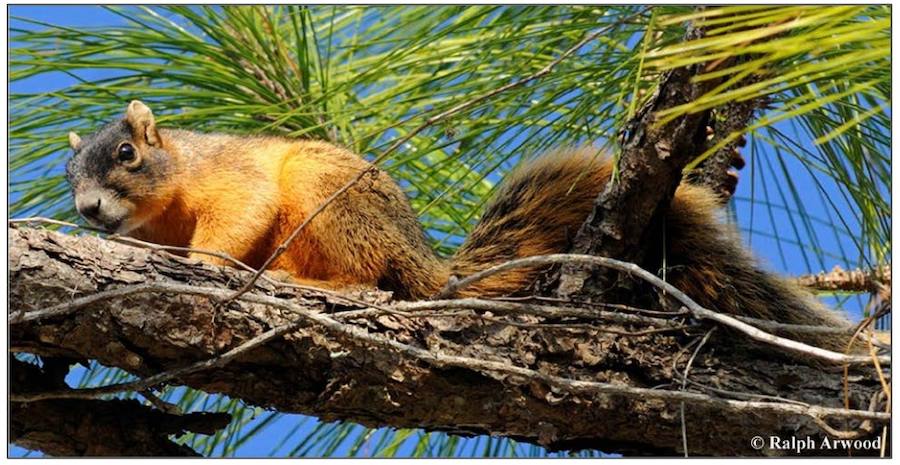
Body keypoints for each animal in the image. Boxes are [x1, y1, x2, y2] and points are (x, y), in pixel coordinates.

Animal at [65, 100, 856, 348]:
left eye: (128, 155)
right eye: (71, 174)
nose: (87, 210)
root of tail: (428, 263)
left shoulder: (231, 177)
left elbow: (241, 213)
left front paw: (203, 264)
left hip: (333, 202)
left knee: (368, 275)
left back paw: (307, 278)